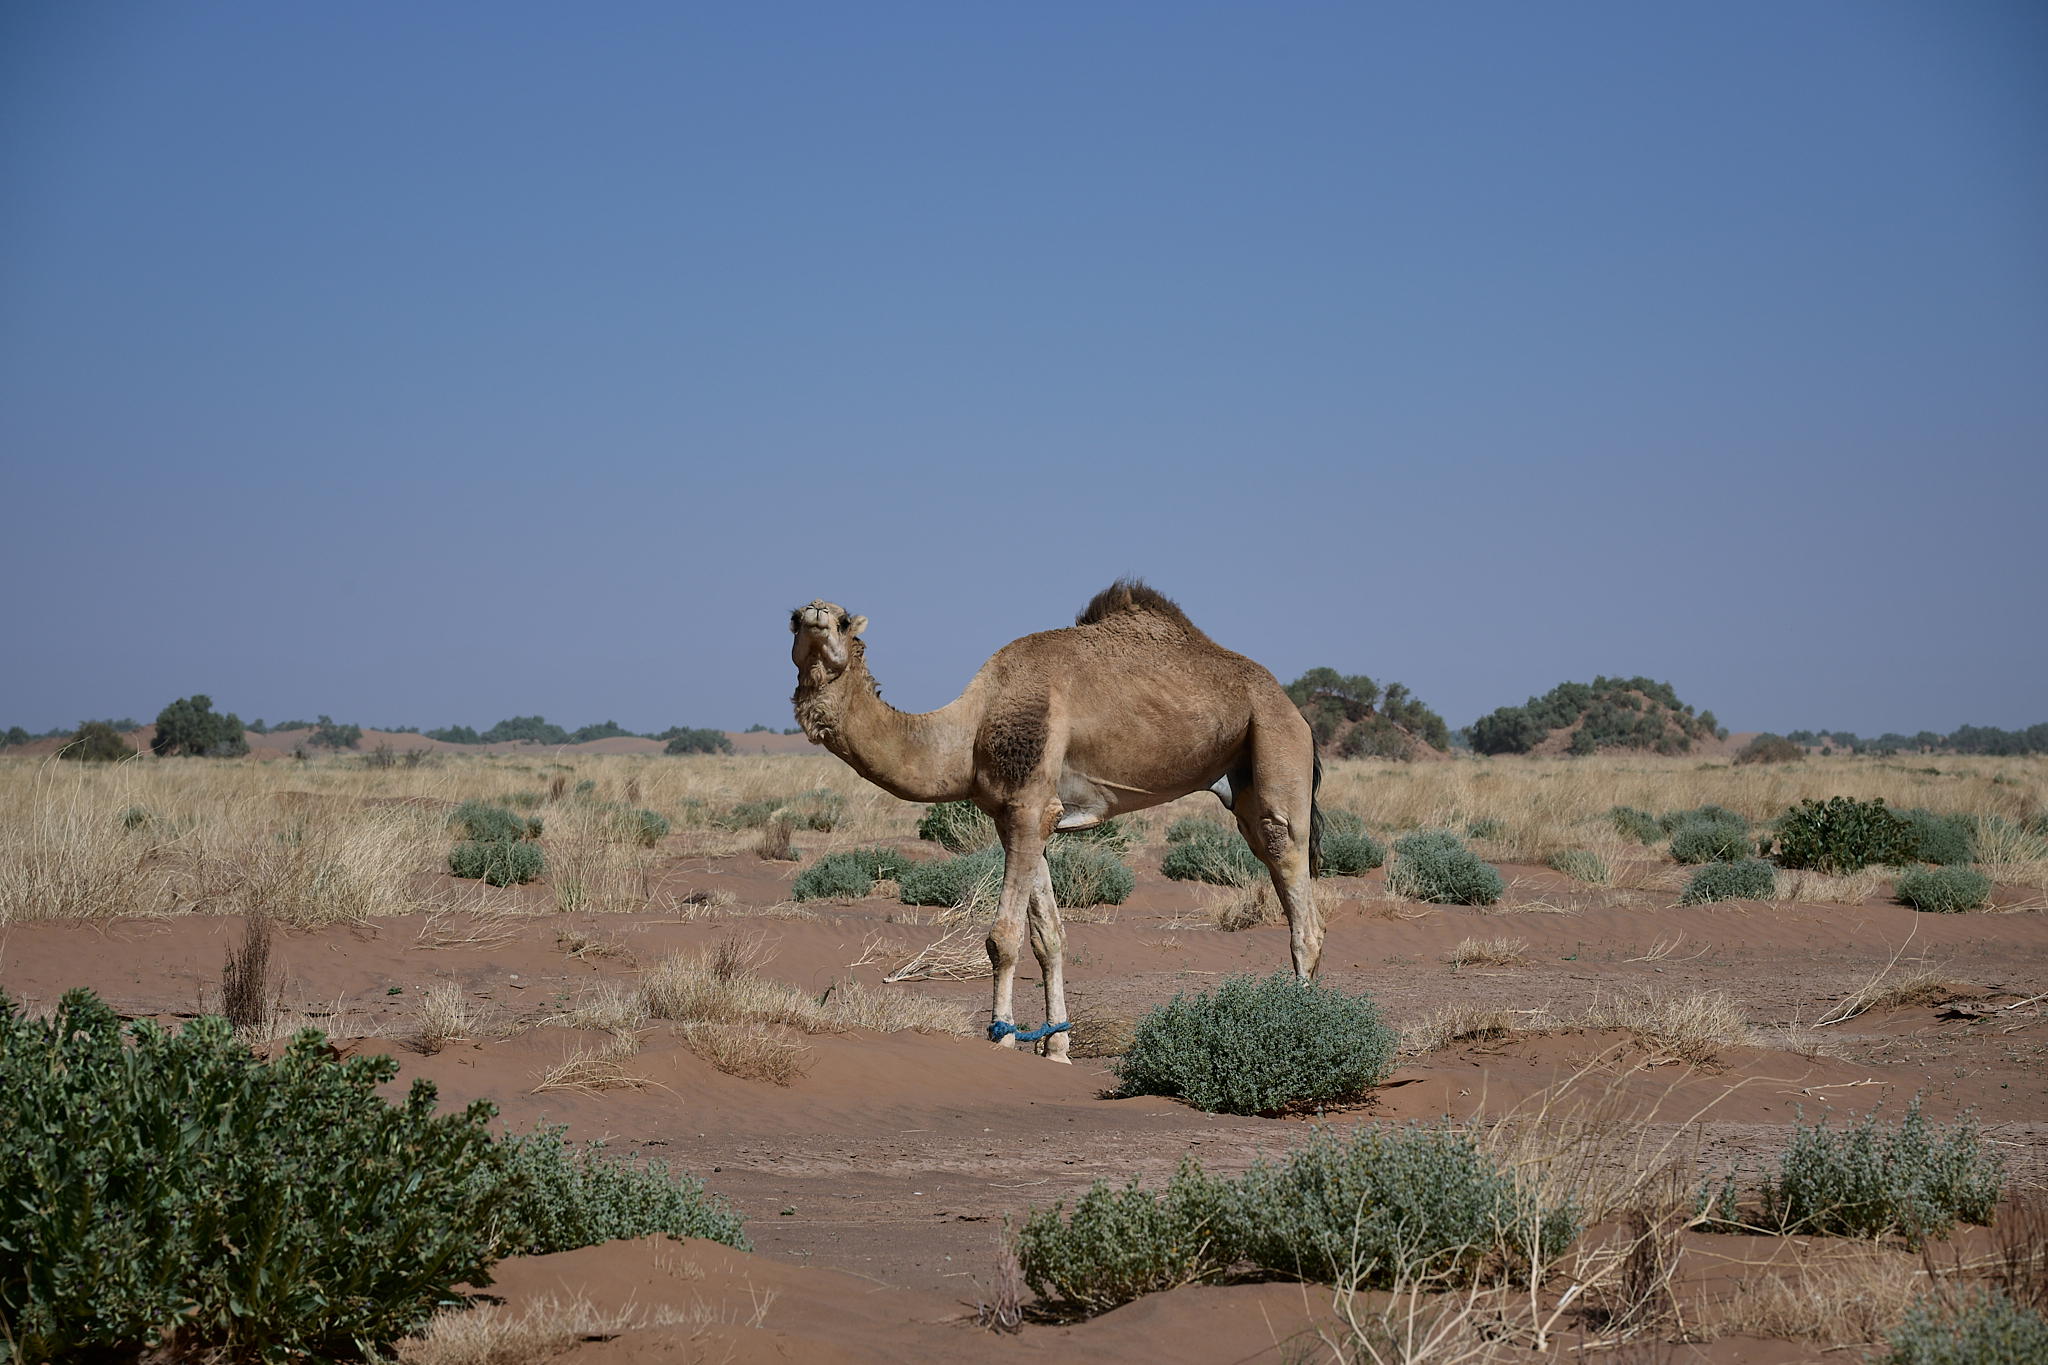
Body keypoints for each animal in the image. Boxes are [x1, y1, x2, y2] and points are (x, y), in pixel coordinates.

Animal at [789, 580, 1324, 1063]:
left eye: (842, 620)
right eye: (792, 619)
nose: (814, 610)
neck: (970, 732)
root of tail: (1293, 707)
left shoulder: (1029, 806)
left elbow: (1002, 937)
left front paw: (1002, 1037)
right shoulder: (1018, 815)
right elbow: (1049, 938)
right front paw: (1057, 1046)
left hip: (1274, 737)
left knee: (1295, 882)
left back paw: (1299, 1027)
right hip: (1240, 777)